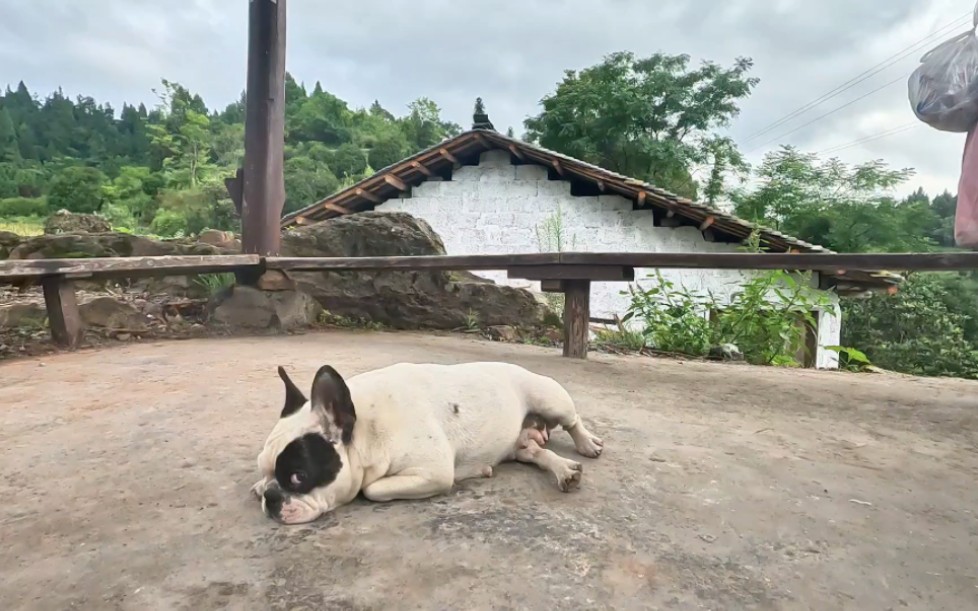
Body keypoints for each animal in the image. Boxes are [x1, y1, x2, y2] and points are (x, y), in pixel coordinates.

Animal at [252, 360, 604, 524]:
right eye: (265, 469)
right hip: (519, 443)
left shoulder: (432, 472)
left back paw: (586, 444)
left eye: (298, 477)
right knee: (536, 452)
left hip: (550, 398)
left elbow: (371, 489)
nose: (271, 497)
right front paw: (259, 486)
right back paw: (564, 470)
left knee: (572, 421)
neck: (367, 426)